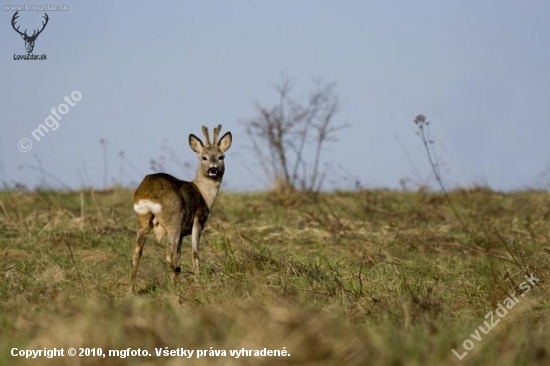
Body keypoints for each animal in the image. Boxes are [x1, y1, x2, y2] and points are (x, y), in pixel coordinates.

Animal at [132, 124, 233, 294]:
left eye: (221, 157)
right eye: (204, 157)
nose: (213, 169)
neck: (203, 194)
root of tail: (148, 193)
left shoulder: (182, 233)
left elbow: (179, 254)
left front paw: (175, 285)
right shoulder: (198, 220)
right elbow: (194, 252)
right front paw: (198, 280)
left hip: (142, 218)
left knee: (136, 254)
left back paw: (131, 291)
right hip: (174, 218)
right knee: (168, 255)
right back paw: (180, 274)